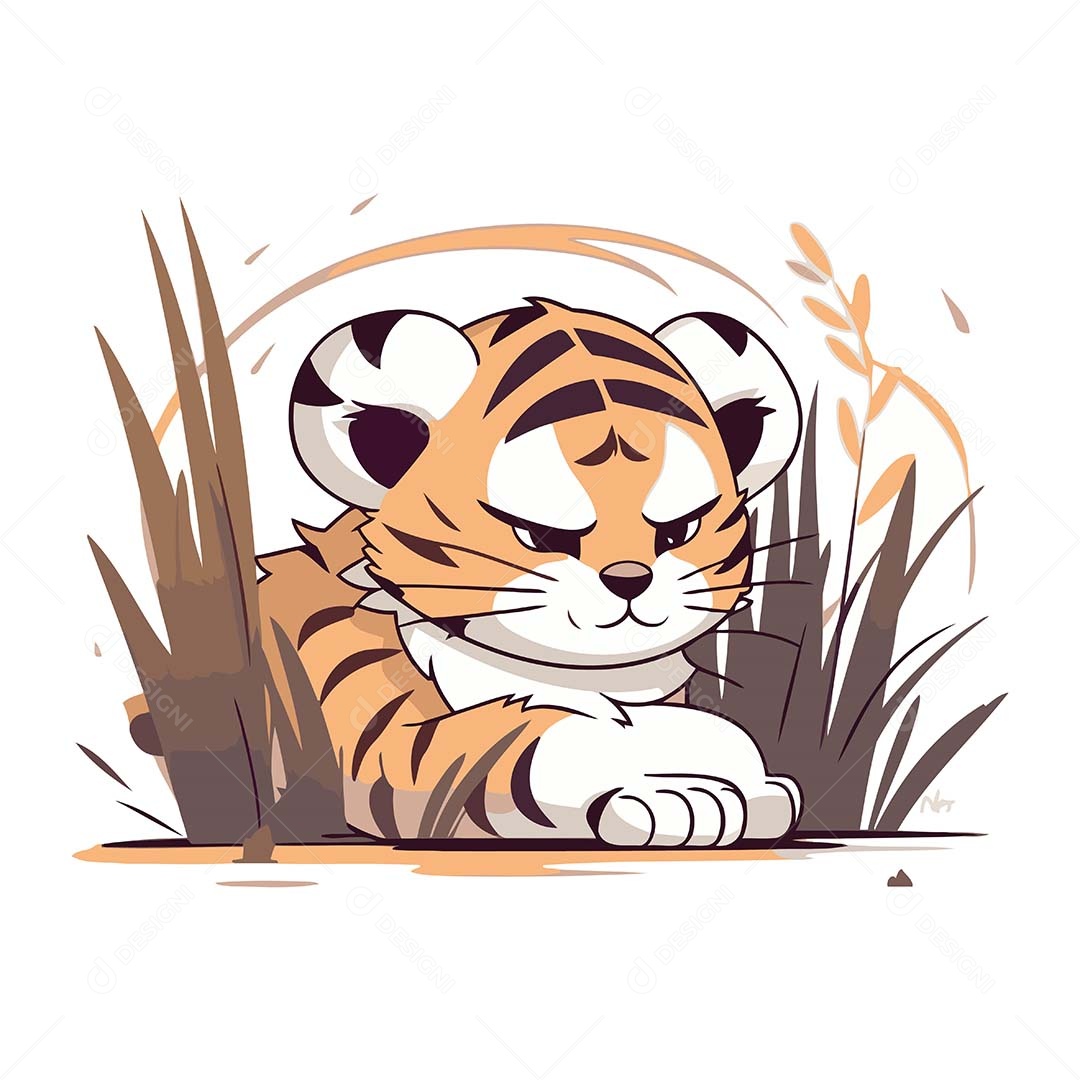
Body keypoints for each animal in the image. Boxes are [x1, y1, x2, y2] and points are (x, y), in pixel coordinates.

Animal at [140, 297, 806, 847]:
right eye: (544, 537)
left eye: (678, 533)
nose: (628, 580)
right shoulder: (386, 741)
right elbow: (558, 736)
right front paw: (678, 793)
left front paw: (747, 783)